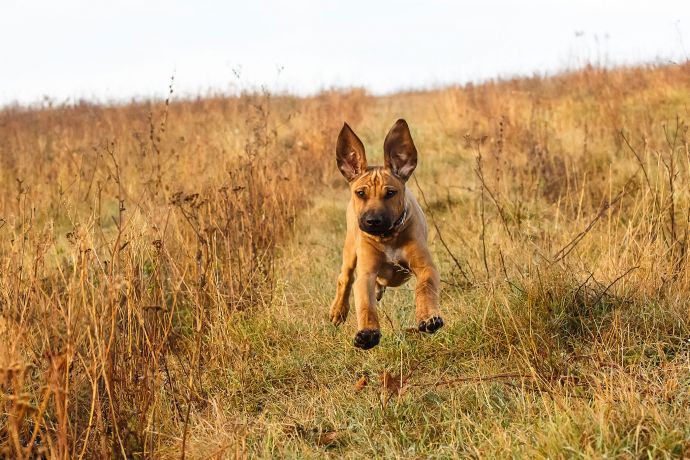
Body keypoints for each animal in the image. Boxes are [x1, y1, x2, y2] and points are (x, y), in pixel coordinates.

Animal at [330, 118, 446, 348]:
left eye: (391, 193)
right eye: (360, 193)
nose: (372, 222)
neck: (387, 237)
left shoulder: (425, 267)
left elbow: (425, 289)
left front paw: (429, 318)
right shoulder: (366, 274)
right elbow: (365, 303)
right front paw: (367, 332)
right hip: (350, 248)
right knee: (344, 278)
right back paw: (338, 310)